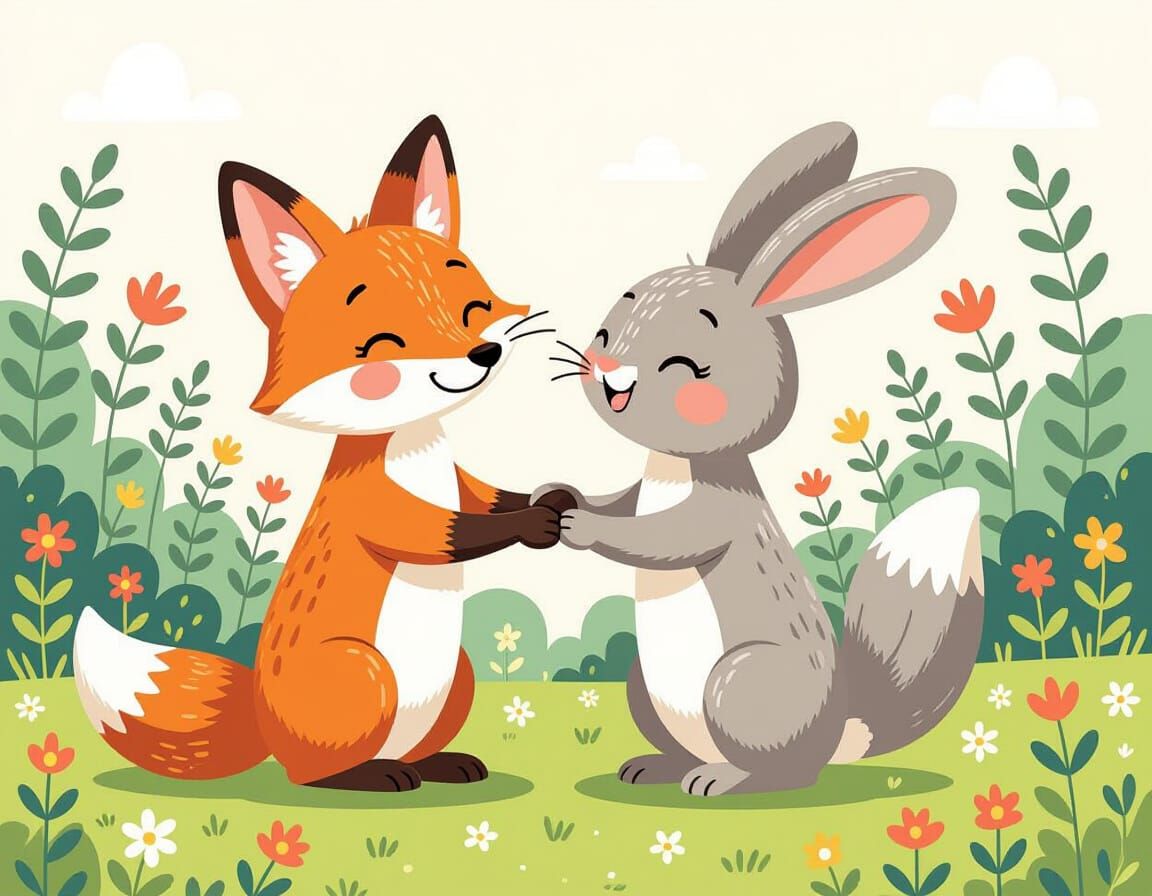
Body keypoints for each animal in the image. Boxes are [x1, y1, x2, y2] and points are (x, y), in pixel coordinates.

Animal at [72, 116, 572, 791]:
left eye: (474, 308)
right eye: (386, 343)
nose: (484, 354)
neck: (414, 443)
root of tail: (262, 722)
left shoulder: (461, 479)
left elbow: (487, 494)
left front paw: (553, 498)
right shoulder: (376, 505)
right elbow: (447, 530)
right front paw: (535, 523)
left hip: (458, 674)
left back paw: (438, 764)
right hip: (365, 672)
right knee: (311, 774)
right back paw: (374, 776)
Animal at [542, 122, 985, 796]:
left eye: (689, 363)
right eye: (613, 319)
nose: (609, 370)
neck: (673, 465)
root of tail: (840, 738)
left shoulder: (717, 513)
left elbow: (660, 537)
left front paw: (580, 525)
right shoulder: (642, 489)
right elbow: (622, 499)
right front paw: (559, 495)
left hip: (738, 683)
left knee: (779, 771)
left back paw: (718, 780)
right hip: (644, 684)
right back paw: (654, 768)